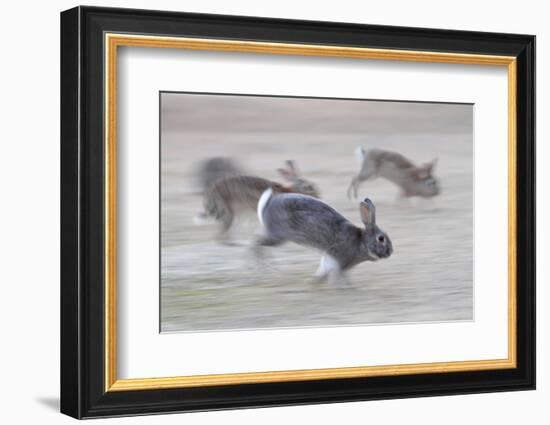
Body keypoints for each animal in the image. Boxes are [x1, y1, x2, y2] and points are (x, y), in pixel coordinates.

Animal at [258, 189, 392, 284]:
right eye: (381, 239)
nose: (390, 252)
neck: (362, 242)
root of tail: (267, 207)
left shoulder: (330, 257)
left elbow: (325, 269)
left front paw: (314, 282)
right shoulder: (337, 257)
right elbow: (335, 273)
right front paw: (343, 287)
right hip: (278, 235)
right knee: (255, 244)